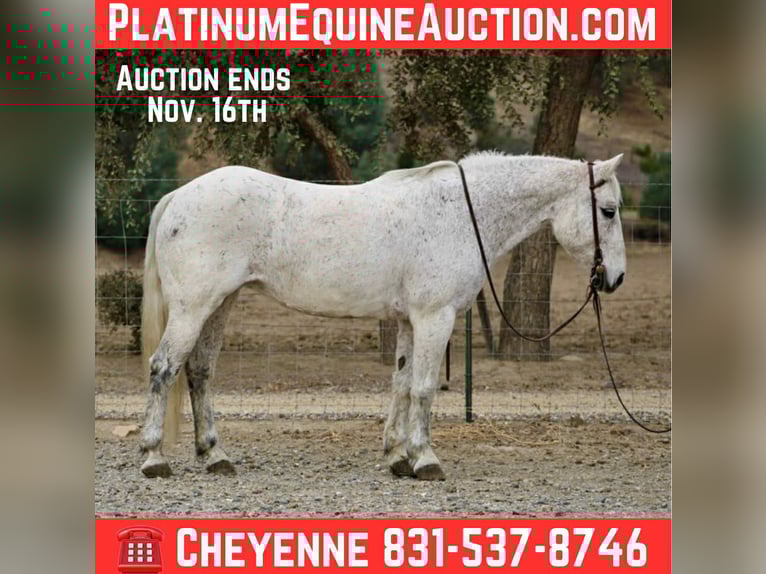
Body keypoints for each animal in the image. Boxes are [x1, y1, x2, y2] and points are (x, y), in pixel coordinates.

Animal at [139, 151, 626, 480]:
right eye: (608, 211)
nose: (615, 278)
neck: (458, 212)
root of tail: (178, 196)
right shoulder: (435, 317)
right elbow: (425, 389)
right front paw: (425, 460)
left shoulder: (411, 321)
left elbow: (402, 385)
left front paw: (397, 456)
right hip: (193, 308)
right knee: (164, 368)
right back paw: (153, 457)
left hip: (220, 305)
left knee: (200, 372)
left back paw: (214, 456)